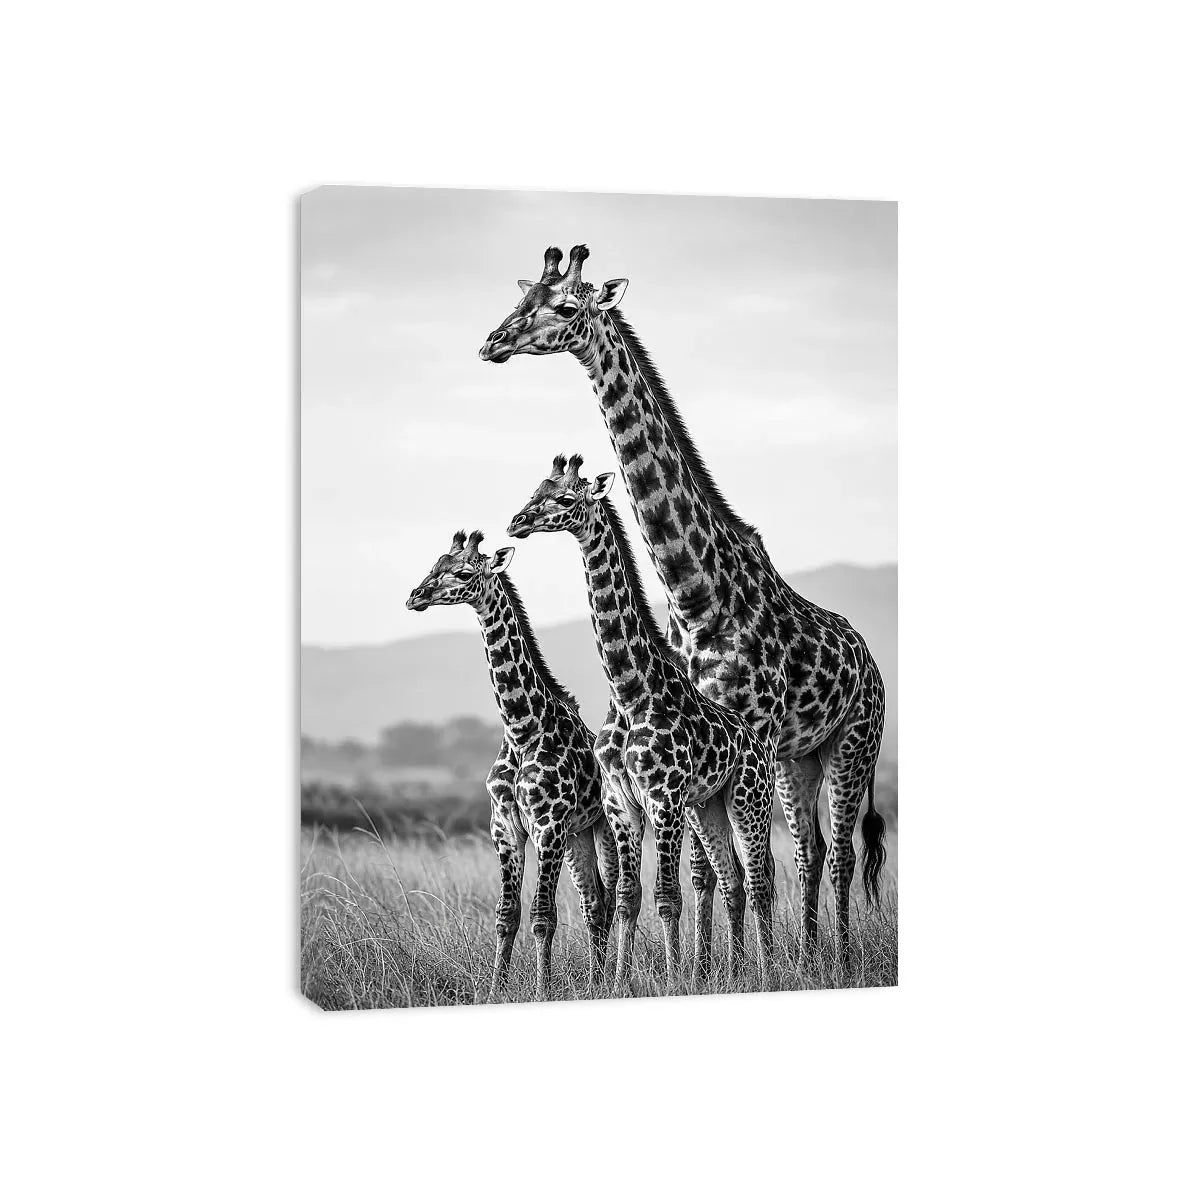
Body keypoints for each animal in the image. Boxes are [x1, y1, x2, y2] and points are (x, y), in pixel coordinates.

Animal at [406, 529, 617, 1001]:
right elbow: (507, 915)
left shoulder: (548, 825)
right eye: (434, 564)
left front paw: (542, 990)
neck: (522, 729)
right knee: (594, 901)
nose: (415, 596)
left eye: (464, 572)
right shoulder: (504, 826)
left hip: (601, 827)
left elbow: (543, 917)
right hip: (576, 836)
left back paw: (603, 979)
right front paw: (494, 990)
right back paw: (597, 979)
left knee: (607, 898)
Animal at [507, 454, 775, 988]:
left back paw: (772, 970)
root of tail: (759, 742)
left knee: (760, 879)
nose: (516, 522)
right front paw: (616, 981)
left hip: (747, 799)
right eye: (534, 491)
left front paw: (672, 979)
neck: (631, 692)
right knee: (734, 878)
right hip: (708, 805)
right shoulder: (620, 802)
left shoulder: (663, 797)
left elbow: (667, 897)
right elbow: (627, 898)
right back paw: (739, 971)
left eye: (564, 498)